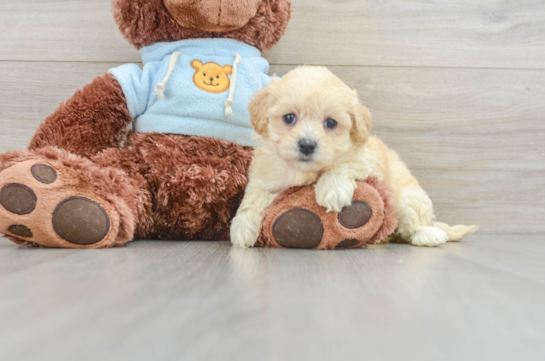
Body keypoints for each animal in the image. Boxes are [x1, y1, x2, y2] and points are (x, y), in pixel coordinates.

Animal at [231, 65, 476, 248]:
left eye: (331, 123)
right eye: (289, 118)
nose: (307, 145)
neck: (304, 170)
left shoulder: (365, 157)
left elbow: (345, 162)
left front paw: (332, 189)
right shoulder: (264, 172)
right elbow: (254, 194)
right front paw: (242, 226)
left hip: (407, 197)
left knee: (413, 221)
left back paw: (428, 235)